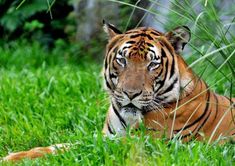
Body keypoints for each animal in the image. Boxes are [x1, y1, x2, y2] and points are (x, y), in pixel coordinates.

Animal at [1, 21, 235, 162]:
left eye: (152, 64)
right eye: (122, 60)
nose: (131, 94)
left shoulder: (148, 144)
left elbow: (79, 147)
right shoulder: (109, 135)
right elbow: (62, 145)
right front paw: (13, 156)